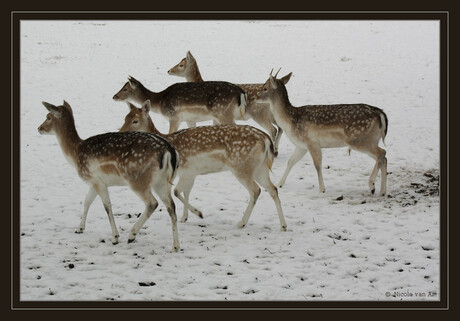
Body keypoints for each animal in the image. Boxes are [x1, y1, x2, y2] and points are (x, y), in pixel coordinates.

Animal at [37, 100, 180, 250]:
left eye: (48, 117)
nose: (39, 128)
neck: (76, 154)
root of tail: (169, 151)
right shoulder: (94, 181)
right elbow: (87, 201)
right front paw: (79, 228)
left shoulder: (96, 181)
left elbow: (107, 206)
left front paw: (115, 237)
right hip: (162, 182)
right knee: (171, 206)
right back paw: (175, 246)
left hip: (137, 179)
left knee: (152, 203)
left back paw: (131, 235)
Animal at [113, 75, 246, 133]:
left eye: (125, 89)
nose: (114, 96)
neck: (159, 101)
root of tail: (241, 93)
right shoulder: (189, 119)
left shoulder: (173, 117)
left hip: (225, 114)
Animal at [120, 100, 290, 230]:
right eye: (125, 117)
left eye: (135, 120)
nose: (121, 131)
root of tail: (266, 140)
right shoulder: (189, 173)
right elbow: (184, 191)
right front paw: (185, 218)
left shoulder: (187, 170)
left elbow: (177, 191)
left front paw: (199, 213)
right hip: (260, 168)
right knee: (273, 189)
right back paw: (283, 225)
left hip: (242, 167)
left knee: (256, 190)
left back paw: (241, 223)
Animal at [256, 71, 386, 195]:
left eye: (265, 88)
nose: (256, 97)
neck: (290, 122)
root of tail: (381, 114)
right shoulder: (301, 145)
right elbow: (291, 162)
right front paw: (279, 184)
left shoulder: (312, 142)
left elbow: (317, 165)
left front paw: (322, 189)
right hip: (371, 140)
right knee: (383, 157)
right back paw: (382, 191)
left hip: (359, 140)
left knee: (382, 153)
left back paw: (372, 185)